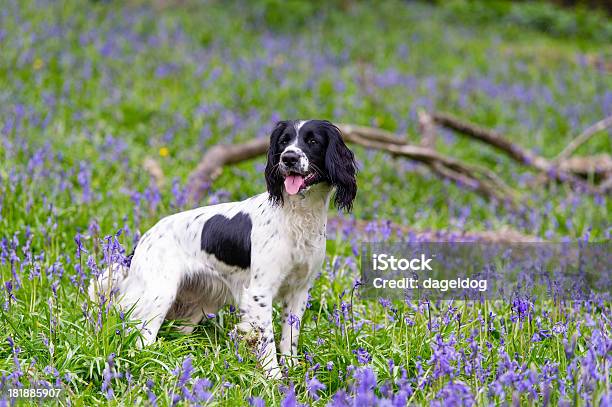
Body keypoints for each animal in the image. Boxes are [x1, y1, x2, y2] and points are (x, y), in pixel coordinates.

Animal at [91, 120, 358, 380]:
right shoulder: (260, 292)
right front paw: (274, 380)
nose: (289, 158)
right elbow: (268, 343)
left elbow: (289, 339)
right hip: (158, 296)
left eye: (312, 141)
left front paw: (293, 373)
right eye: (284, 141)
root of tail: (141, 242)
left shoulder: (299, 291)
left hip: (197, 305)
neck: (297, 217)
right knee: (141, 341)